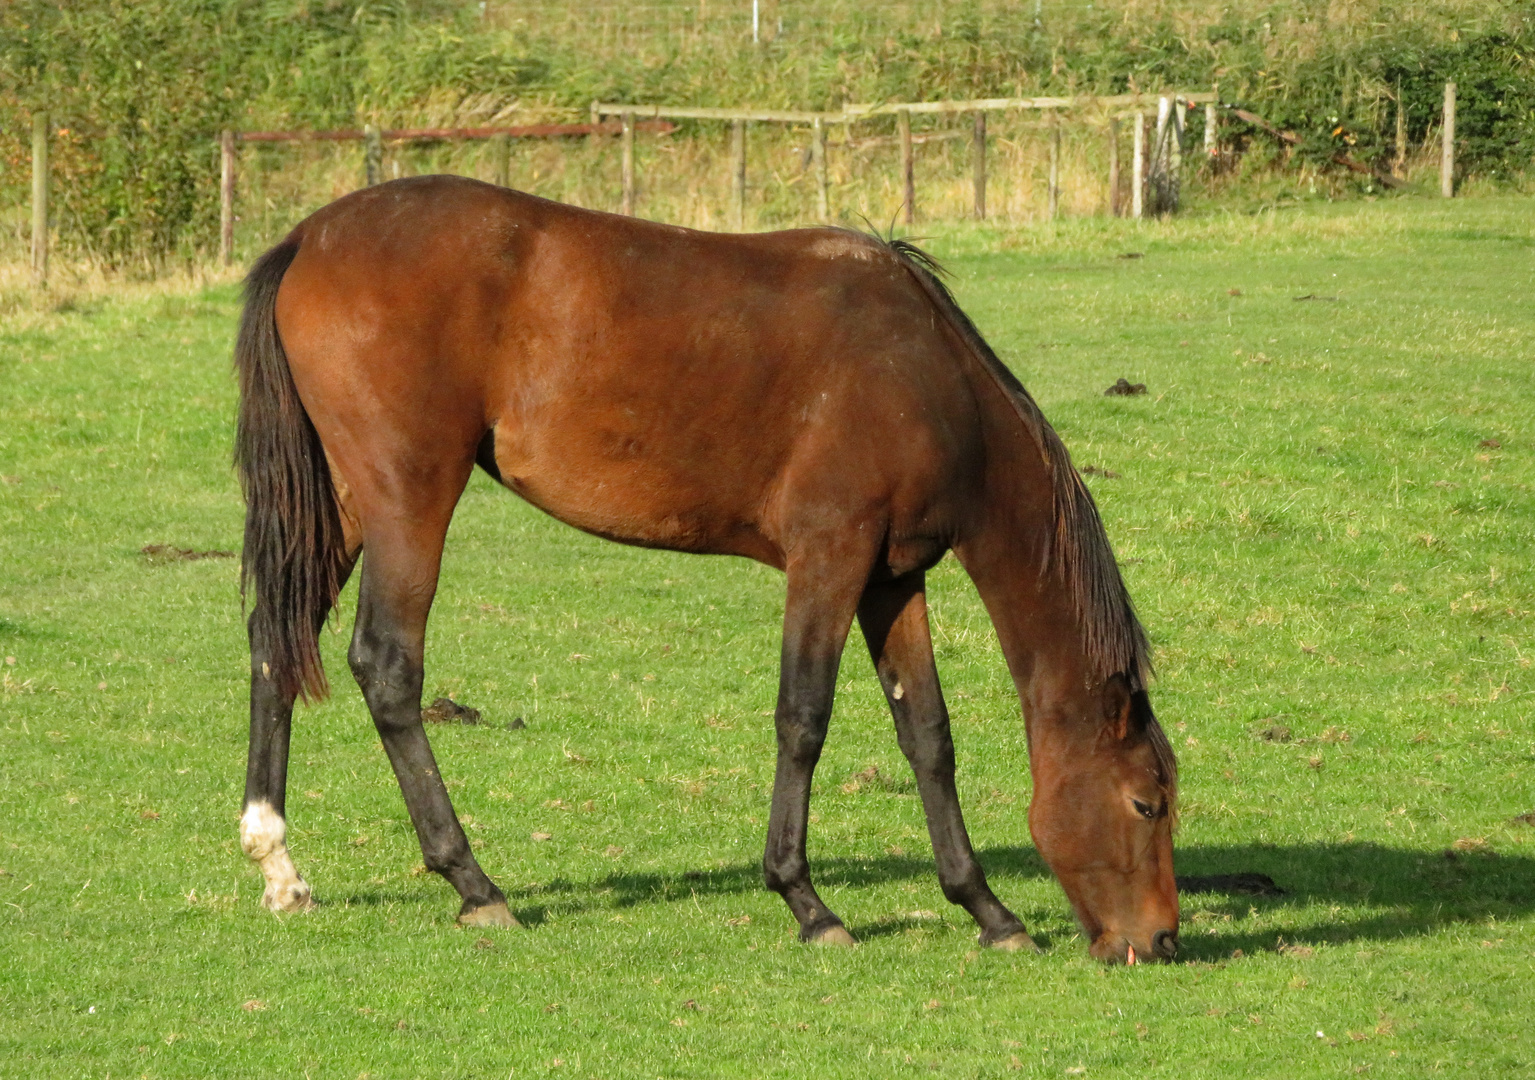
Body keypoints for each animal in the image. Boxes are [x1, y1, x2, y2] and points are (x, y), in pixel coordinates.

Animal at [233, 174, 1178, 963]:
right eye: (1146, 802)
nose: (1160, 941)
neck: (925, 374)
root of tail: (309, 239)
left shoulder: (890, 579)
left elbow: (927, 736)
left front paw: (986, 910)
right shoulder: (828, 558)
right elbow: (803, 719)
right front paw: (808, 904)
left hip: (342, 509)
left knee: (275, 642)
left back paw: (277, 861)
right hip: (408, 497)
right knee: (387, 666)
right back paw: (475, 884)